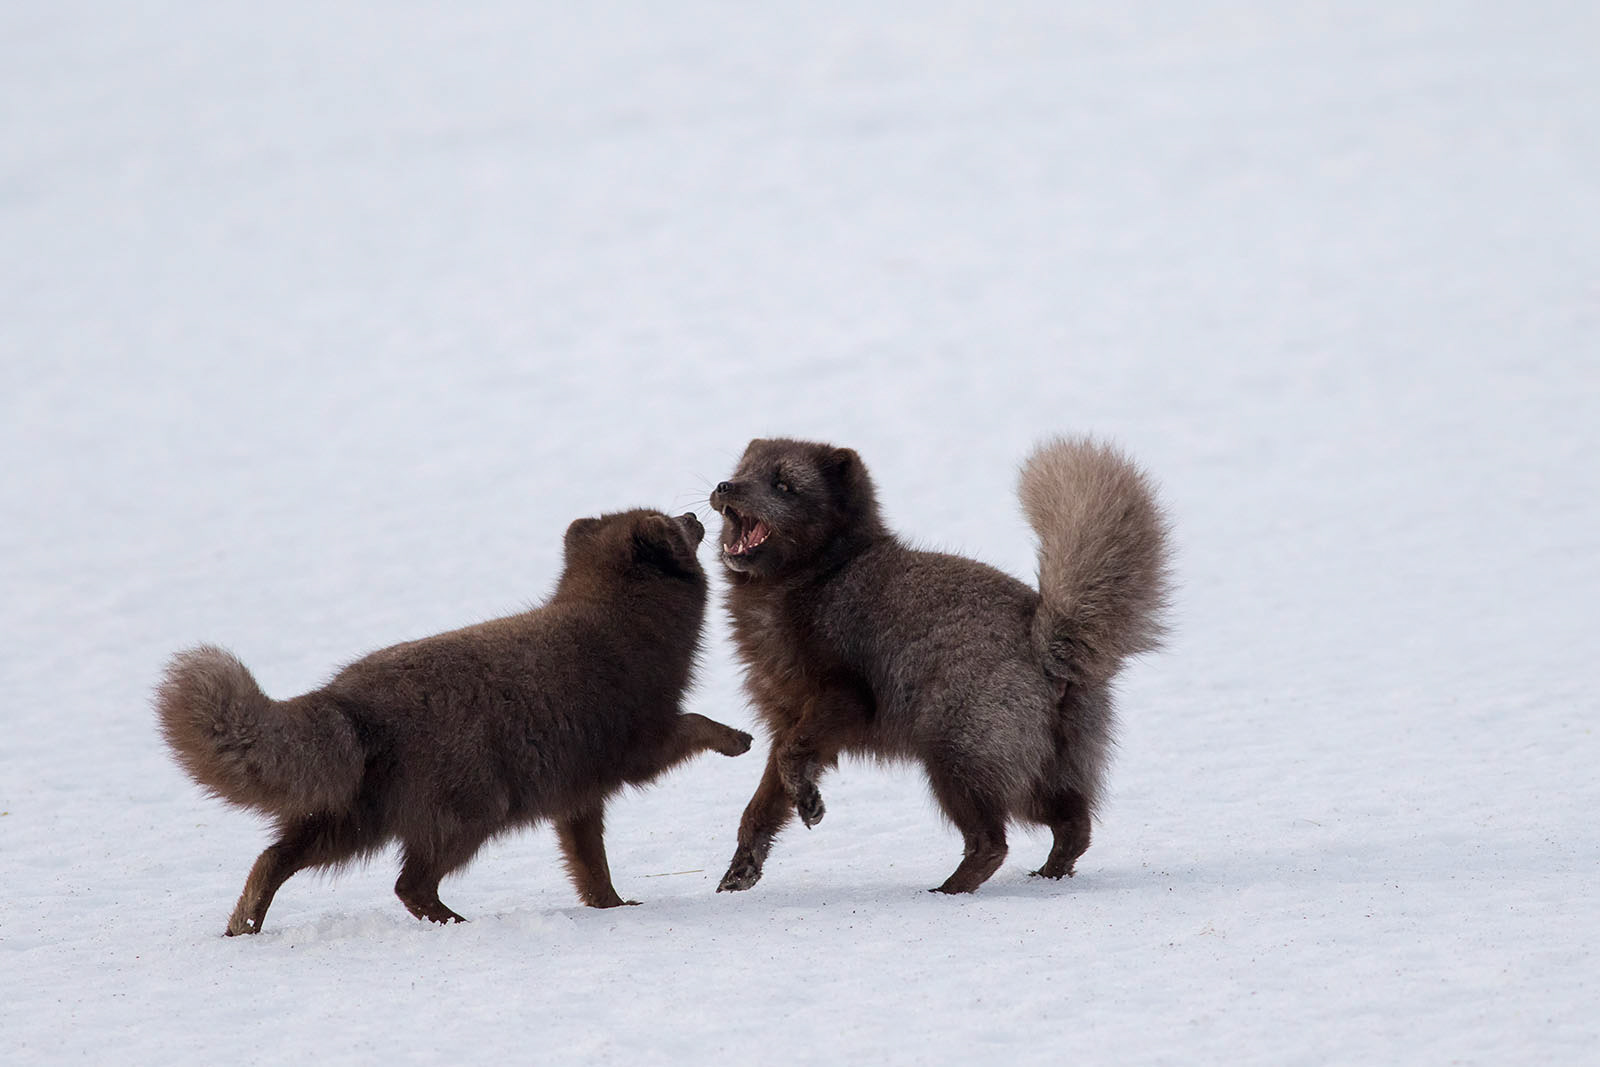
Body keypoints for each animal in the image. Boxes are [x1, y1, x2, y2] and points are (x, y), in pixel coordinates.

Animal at [156, 509, 750, 934]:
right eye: (673, 522)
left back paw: (244, 925)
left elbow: (591, 866)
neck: (621, 618)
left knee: (275, 856)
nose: (697, 514)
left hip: (353, 820)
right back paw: (456, 924)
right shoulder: (641, 744)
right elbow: (696, 721)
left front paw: (614, 907)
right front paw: (737, 739)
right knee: (408, 885)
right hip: (469, 813)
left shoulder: (579, 800)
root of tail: (346, 700)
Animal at [708, 437, 1171, 894]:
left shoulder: (843, 698)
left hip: (957, 759)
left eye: (783, 485)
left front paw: (809, 802)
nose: (724, 486)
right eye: (743, 471)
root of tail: (1047, 646)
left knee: (993, 844)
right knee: (1075, 826)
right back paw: (1048, 878)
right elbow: (761, 803)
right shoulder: (785, 718)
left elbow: (792, 759)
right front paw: (741, 870)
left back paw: (947, 892)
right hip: (1041, 771)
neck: (823, 576)